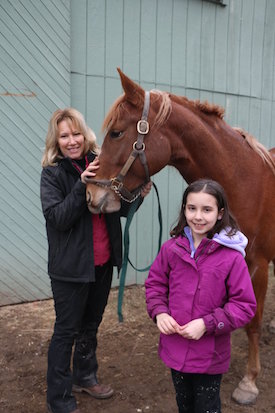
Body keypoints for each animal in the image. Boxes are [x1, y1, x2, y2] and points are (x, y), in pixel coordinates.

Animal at [86, 69, 275, 404]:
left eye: (117, 133)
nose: (92, 195)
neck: (243, 178)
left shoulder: (258, 264)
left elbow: (251, 323)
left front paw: (249, 382)